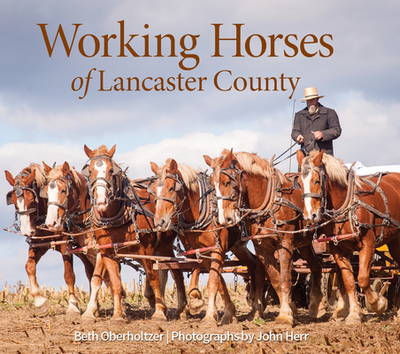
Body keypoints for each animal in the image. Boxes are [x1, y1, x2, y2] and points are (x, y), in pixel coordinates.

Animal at [5, 162, 94, 316]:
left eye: (31, 199)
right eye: (15, 202)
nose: (26, 231)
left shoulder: (66, 245)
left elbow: (69, 275)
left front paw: (73, 306)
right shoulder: (38, 245)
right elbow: (29, 266)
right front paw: (40, 302)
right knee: (91, 271)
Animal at [81, 145, 188, 322]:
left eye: (111, 170)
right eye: (89, 172)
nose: (101, 202)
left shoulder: (146, 250)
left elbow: (154, 280)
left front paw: (159, 312)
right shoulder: (107, 251)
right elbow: (114, 283)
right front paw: (117, 315)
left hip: (164, 245)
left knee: (175, 273)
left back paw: (182, 309)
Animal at [149, 159, 256, 324]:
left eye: (172, 188)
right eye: (154, 190)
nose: (160, 222)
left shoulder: (217, 248)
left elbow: (212, 281)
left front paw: (208, 314)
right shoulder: (203, 250)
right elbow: (218, 280)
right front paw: (228, 312)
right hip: (237, 246)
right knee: (253, 263)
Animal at [205, 149, 326, 326]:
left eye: (227, 182)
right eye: (212, 185)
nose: (223, 219)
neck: (268, 204)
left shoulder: (286, 243)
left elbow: (285, 278)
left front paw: (285, 316)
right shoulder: (261, 247)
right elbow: (275, 279)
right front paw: (291, 310)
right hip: (304, 244)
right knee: (316, 266)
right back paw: (318, 306)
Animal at [296, 149, 400, 324]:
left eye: (317, 181)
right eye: (299, 183)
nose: (310, 216)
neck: (347, 204)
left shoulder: (368, 244)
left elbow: (363, 278)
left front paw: (378, 303)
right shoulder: (339, 249)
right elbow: (348, 281)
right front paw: (353, 314)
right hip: (394, 242)